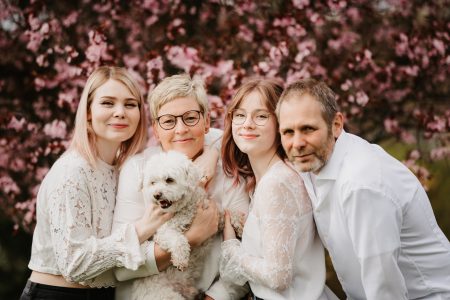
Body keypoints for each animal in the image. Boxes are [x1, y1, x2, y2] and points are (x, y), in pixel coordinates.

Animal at [131, 151, 243, 300]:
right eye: (152, 183)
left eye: (169, 180)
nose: (156, 195)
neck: (185, 208)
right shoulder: (163, 232)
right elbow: (178, 240)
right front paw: (181, 259)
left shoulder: (214, 215)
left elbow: (227, 213)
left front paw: (239, 223)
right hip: (166, 296)